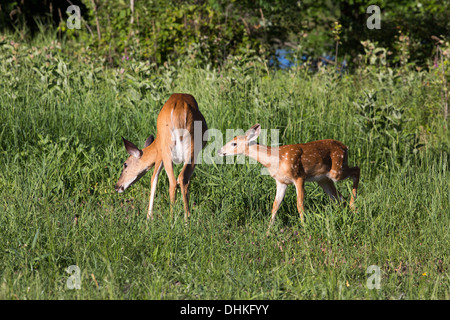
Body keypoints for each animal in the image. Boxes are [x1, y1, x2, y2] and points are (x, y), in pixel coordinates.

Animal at [216, 123, 360, 232]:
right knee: (339, 198)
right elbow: (275, 205)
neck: (274, 160)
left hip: (336, 170)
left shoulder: (299, 176)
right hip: (324, 179)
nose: (219, 151)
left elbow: (299, 204)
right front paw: (268, 230)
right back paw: (349, 212)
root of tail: (345, 147)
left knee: (357, 170)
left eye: (234, 143)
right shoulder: (281, 182)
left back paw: (353, 206)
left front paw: (304, 227)